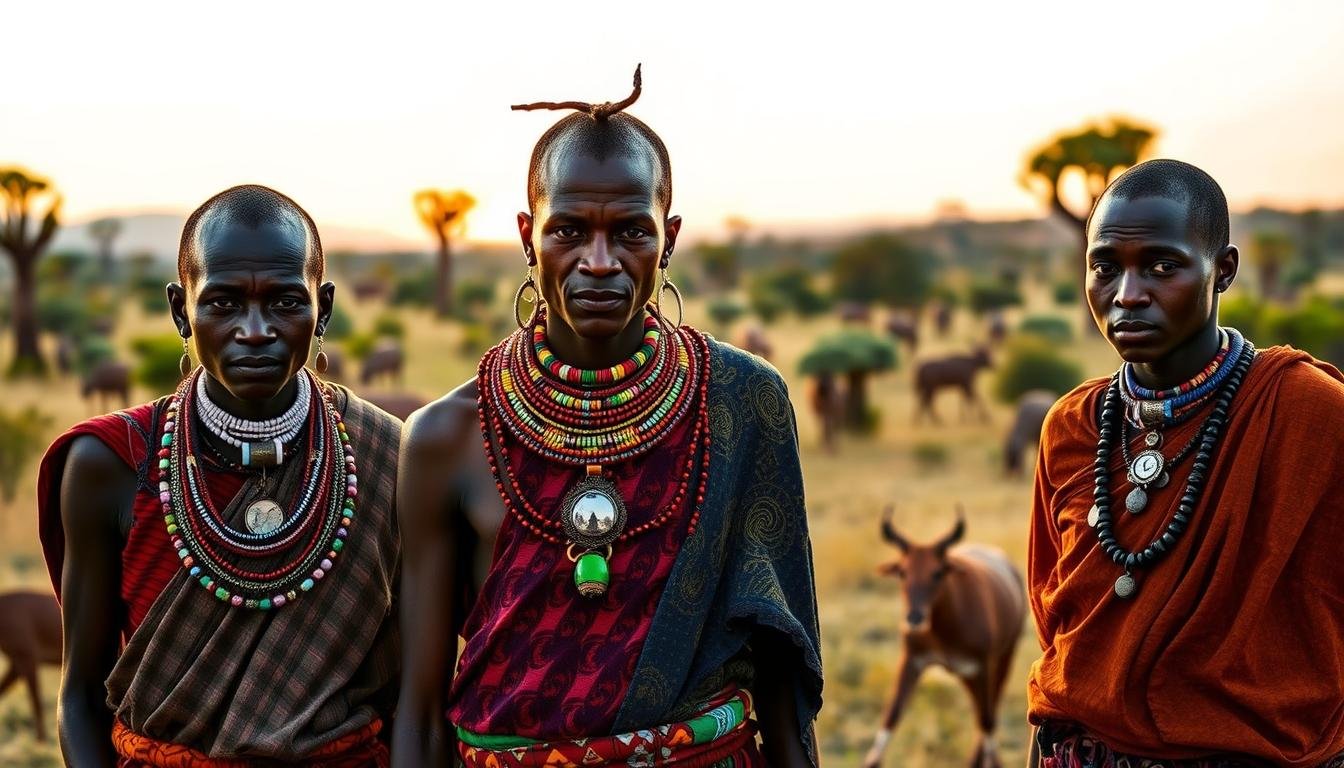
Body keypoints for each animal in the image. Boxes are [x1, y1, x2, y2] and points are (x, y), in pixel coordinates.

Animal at [865, 505, 1021, 768]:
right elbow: (891, 715)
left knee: (989, 712)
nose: (914, 618)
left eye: (937, 572)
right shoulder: (912, 661)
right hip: (966, 675)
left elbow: (987, 720)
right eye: (903, 572)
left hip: (1003, 659)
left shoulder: (982, 665)